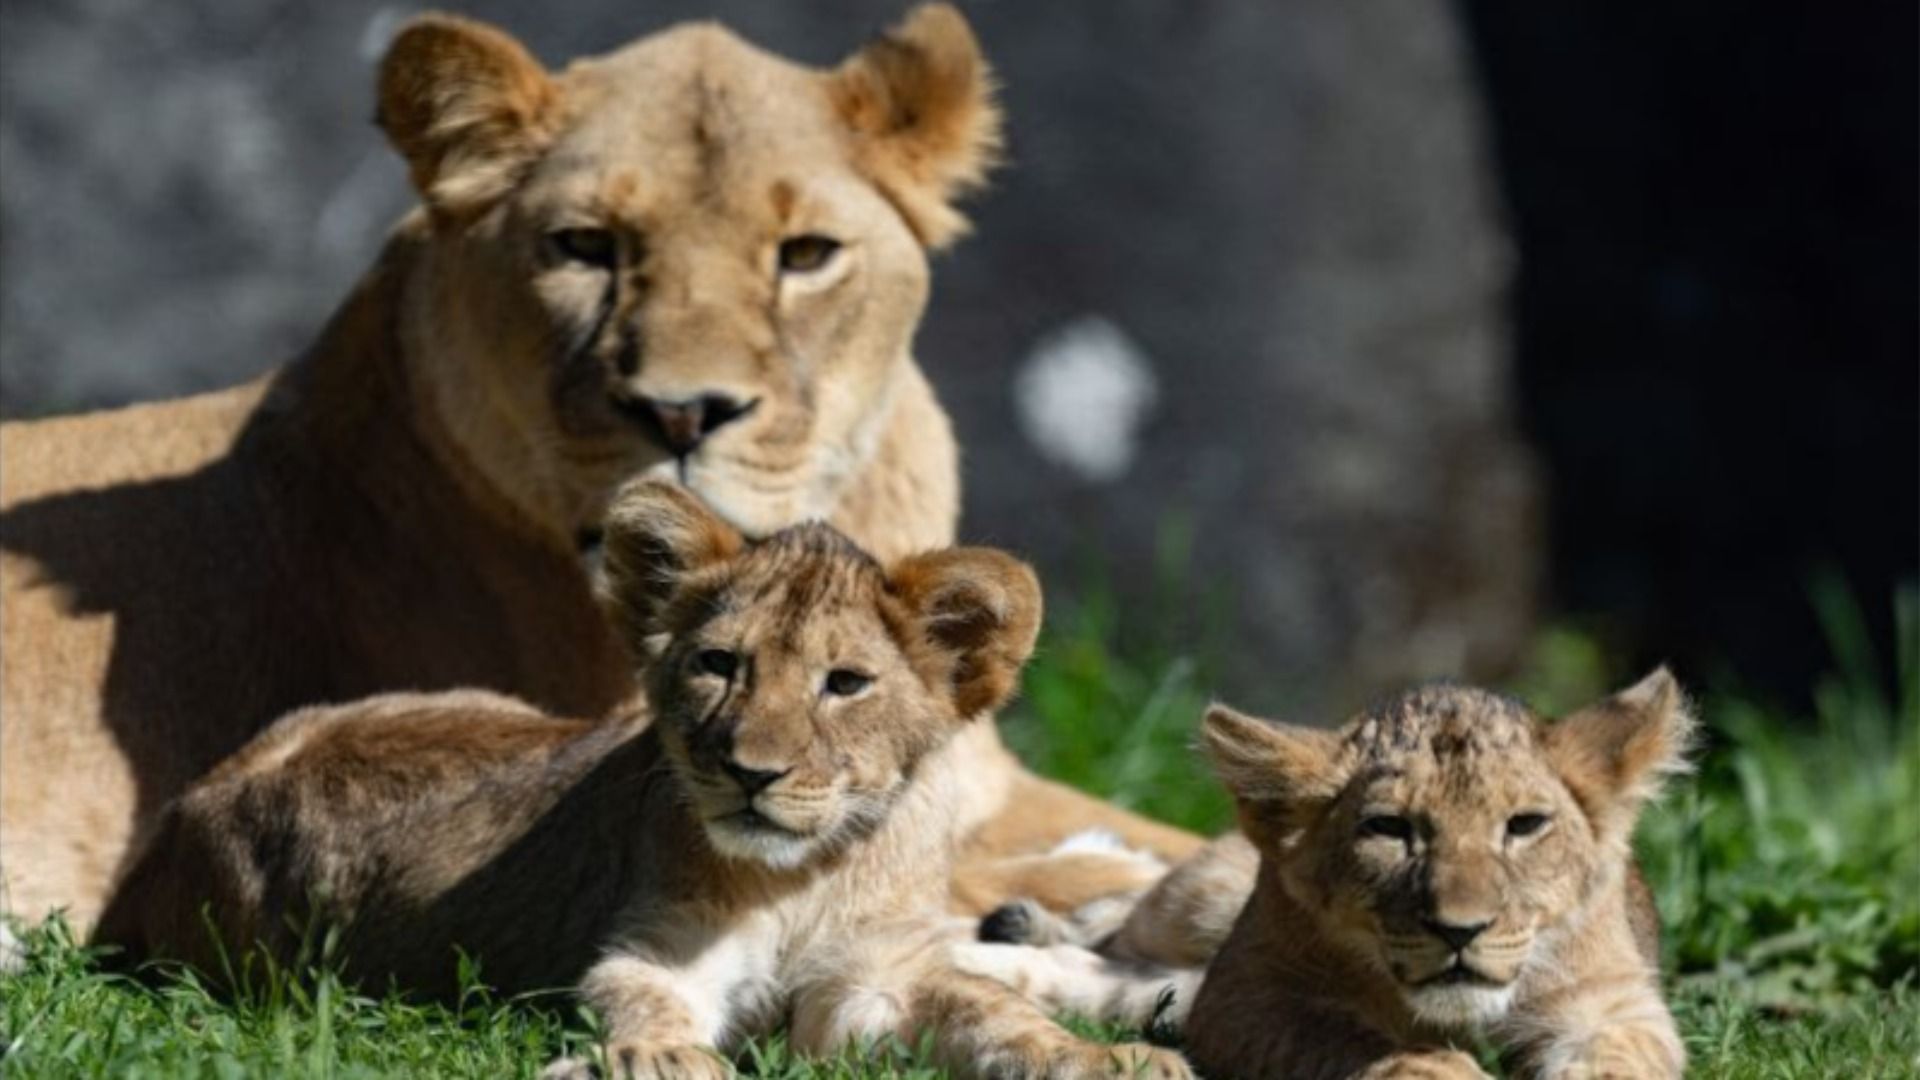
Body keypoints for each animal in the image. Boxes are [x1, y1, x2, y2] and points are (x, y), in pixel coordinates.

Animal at [95, 481, 1192, 1079]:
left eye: (844, 684)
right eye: (718, 665)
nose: (750, 772)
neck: (804, 876)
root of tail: (188, 811)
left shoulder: (875, 979)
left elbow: (993, 1013)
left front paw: (1112, 1056)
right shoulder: (654, 950)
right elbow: (646, 1002)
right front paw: (662, 1056)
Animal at [962, 673, 1694, 1079]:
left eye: (1525, 825)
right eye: (1390, 829)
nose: (1461, 931)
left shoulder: (1613, 1004)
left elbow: (1617, 1060)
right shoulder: (1247, 996)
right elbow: (1359, 1042)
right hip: (1199, 903)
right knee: (1114, 936)